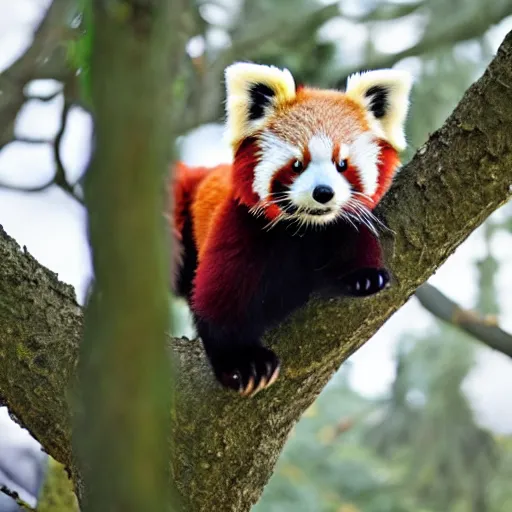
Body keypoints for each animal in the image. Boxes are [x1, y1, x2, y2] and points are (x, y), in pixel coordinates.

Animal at [171, 61, 412, 396]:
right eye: (297, 164)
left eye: (342, 164)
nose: (323, 192)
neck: (305, 230)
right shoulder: (242, 228)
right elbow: (217, 303)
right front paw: (243, 364)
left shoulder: (346, 224)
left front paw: (363, 276)